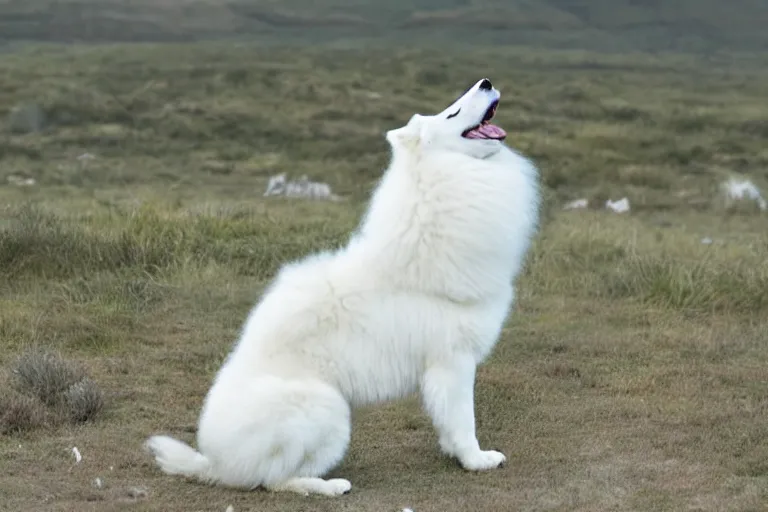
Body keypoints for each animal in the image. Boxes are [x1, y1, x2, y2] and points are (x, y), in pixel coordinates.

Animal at [146, 78, 540, 498]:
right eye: (452, 113)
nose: (486, 82)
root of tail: (217, 464)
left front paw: (454, 453)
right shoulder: (453, 362)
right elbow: (464, 421)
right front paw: (477, 460)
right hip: (330, 410)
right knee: (275, 481)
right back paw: (331, 485)